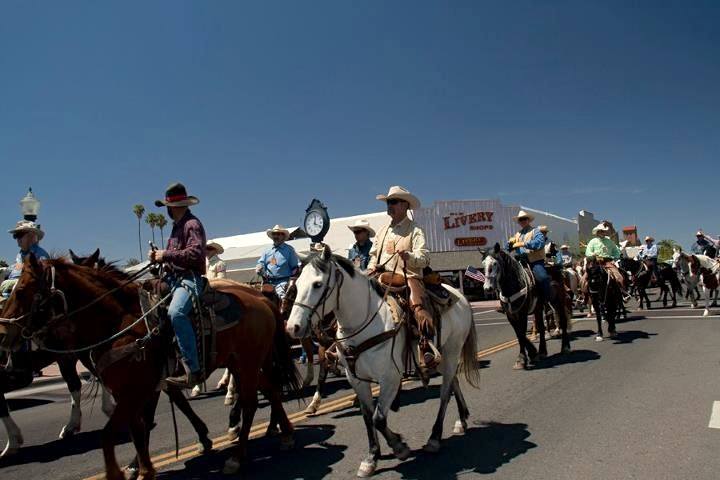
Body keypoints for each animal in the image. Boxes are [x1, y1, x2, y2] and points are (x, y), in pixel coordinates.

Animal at [0, 253, 300, 478]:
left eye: (22, 290)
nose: (3, 333)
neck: (119, 322)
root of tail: (260, 299)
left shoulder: (138, 389)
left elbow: (118, 432)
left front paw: (124, 471)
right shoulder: (140, 389)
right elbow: (139, 427)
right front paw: (142, 468)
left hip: (247, 364)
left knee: (251, 402)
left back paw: (237, 456)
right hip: (244, 363)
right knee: (270, 389)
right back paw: (284, 434)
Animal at [284, 249, 480, 478]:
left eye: (317, 284)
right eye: (297, 285)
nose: (293, 327)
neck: (364, 322)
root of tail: (460, 295)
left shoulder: (390, 378)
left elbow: (379, 418)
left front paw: (399, 447)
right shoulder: (356, 380)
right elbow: (368, 417)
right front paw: (372, 457)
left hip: (452, 351)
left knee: (444, 394)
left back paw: (434, 438)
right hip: (441, 356)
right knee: (453, 382)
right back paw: (462, 420)